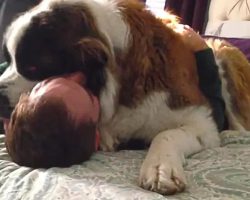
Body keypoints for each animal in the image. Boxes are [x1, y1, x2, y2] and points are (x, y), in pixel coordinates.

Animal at [0, 0, 250, 195]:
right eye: (9, 60)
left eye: (32, 67)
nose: (0, 96)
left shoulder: (200, 120)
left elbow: (166, 134)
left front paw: (160, 168)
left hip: (222, 51)